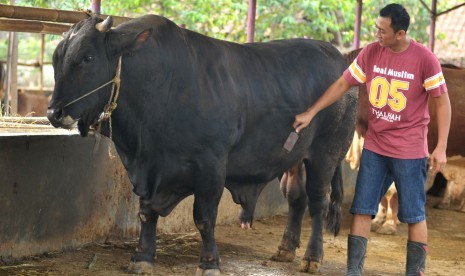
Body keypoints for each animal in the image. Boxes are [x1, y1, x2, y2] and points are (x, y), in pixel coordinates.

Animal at [47, 15, 356, 276]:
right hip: (294, 158)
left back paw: (312, 257)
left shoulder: (211, 164)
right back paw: (285, 249)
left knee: (317, 202)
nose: (54, 113)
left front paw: (209, 262)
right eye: (56, 60)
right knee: (296, 198)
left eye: (87, 57)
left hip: (326, 155)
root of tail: (338, 58)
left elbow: (204, 217)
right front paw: (143, 257)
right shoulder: (148, 169)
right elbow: (146, 213)